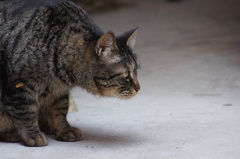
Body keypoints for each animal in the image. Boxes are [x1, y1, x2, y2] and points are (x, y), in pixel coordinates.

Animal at [0, 0, 140, 147]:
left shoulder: (60, 92)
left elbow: (59, 110)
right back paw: (14, 133)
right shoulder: (19, 86)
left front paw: (63, 129)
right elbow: (26, 112)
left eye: (136, 71)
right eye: (126, 75)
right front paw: (32, 134)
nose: (138, 88)